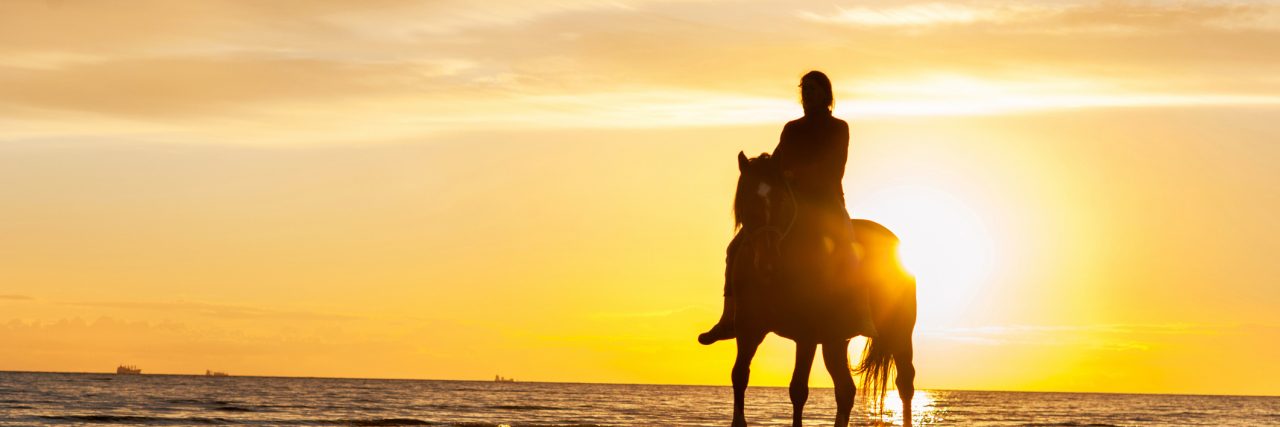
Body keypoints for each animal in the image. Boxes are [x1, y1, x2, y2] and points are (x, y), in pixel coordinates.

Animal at [726, 151, 917, 427]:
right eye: (745, 200)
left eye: (782, 200)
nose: (768, 261)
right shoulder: (748, 328)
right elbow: (739, 375)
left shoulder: (805, 334)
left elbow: (798, 390)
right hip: (835, 340)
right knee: (845, 390)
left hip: (899, 332)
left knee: (905, 384)